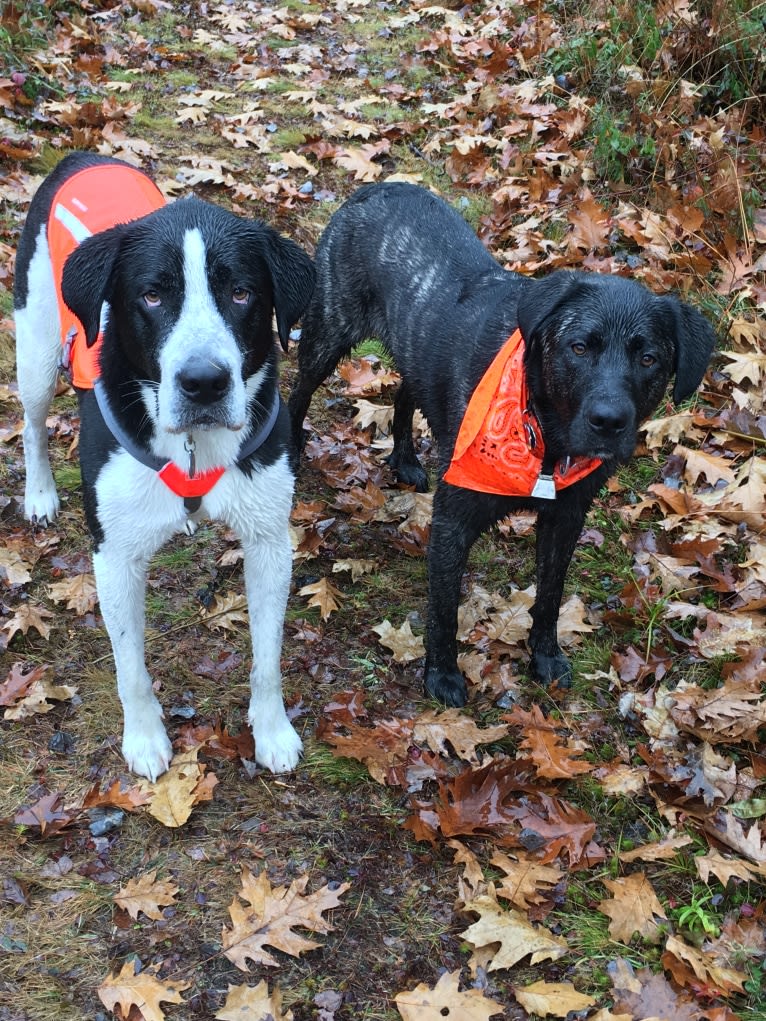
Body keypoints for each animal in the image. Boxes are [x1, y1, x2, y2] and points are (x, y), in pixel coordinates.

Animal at [15, 151, 314, 775]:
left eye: (242, 293)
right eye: (152, 295)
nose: (204, 382)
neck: (195, 444)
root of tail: (82, 156)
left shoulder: (270, 539)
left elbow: (268, 656)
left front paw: (272, 730)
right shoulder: (114, 553)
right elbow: (130, 668)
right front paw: (145, 738)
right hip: (35, 345)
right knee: (30, 421)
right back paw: (40, 494)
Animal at [290, 183, 719, 706]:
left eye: (649, 358)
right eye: (579, 347)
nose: (609, 421)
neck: (543, 439)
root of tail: (378, 186)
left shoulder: (566, 517)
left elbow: (550, 594)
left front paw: (545, 655)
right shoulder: (453, 520)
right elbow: (444, 609)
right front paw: (442, 674)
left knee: (406, 391)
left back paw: (405, 459)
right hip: (328, 333)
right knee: (298, 391)